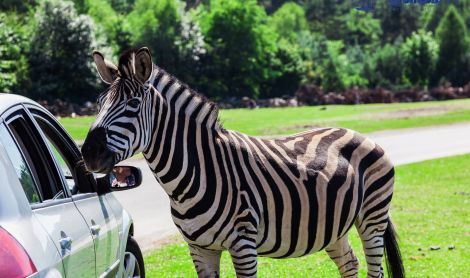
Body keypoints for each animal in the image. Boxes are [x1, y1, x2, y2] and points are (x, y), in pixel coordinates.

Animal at [81, 47, 404, 276]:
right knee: (350, 264)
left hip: (372, 219)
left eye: (133, 105)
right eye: (99, 104)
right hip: (334, 227)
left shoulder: (243, 244)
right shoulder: (199, 249)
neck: (195, 172)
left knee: (374, 268)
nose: (88, 153)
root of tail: (358, 133)